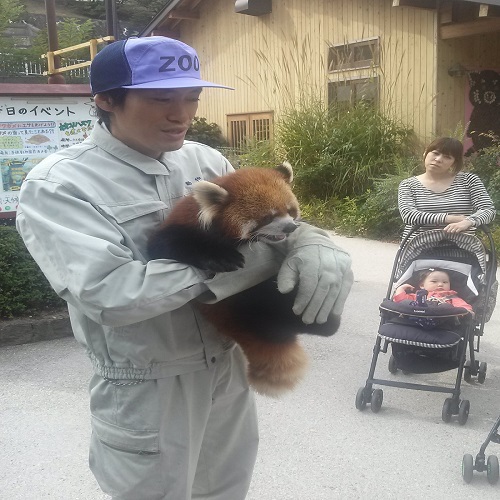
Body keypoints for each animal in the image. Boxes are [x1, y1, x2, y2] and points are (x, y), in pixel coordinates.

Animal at [146, 164, 340, 398]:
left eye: (290, 211)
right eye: (268, 217)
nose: (290, 228)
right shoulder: (178, 226)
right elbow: (167, 245)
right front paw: (221, 257)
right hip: (238, 305)